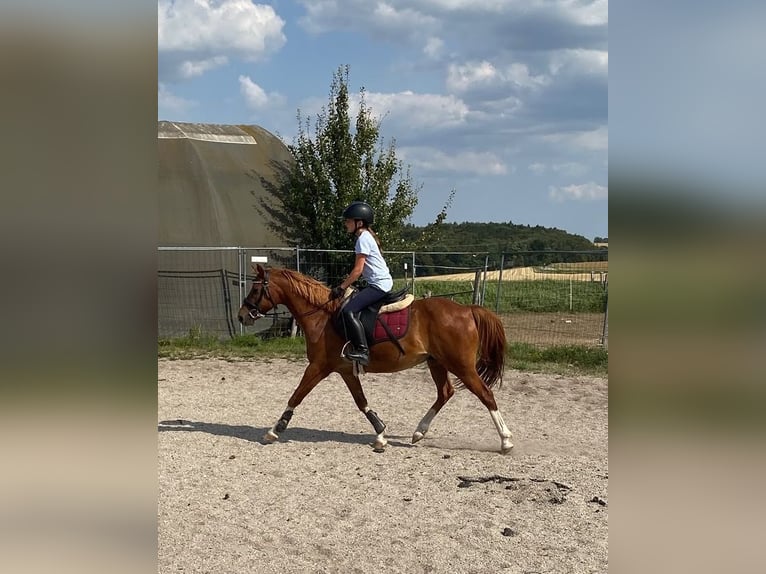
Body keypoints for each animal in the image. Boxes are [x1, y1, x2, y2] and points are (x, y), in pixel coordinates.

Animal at [237, 264, 513, 454]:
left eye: (256, 288)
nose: (242, 315)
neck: (323, 315)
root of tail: (467, 310)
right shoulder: (344, 370)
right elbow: (361, 402)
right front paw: (380, 434)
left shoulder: (318, 367)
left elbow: (296, 395)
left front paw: (274, 430)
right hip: (437, 362)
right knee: (445, 393)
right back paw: (418, 433)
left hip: (461, 366)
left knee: (485, 394)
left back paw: (506, 440)